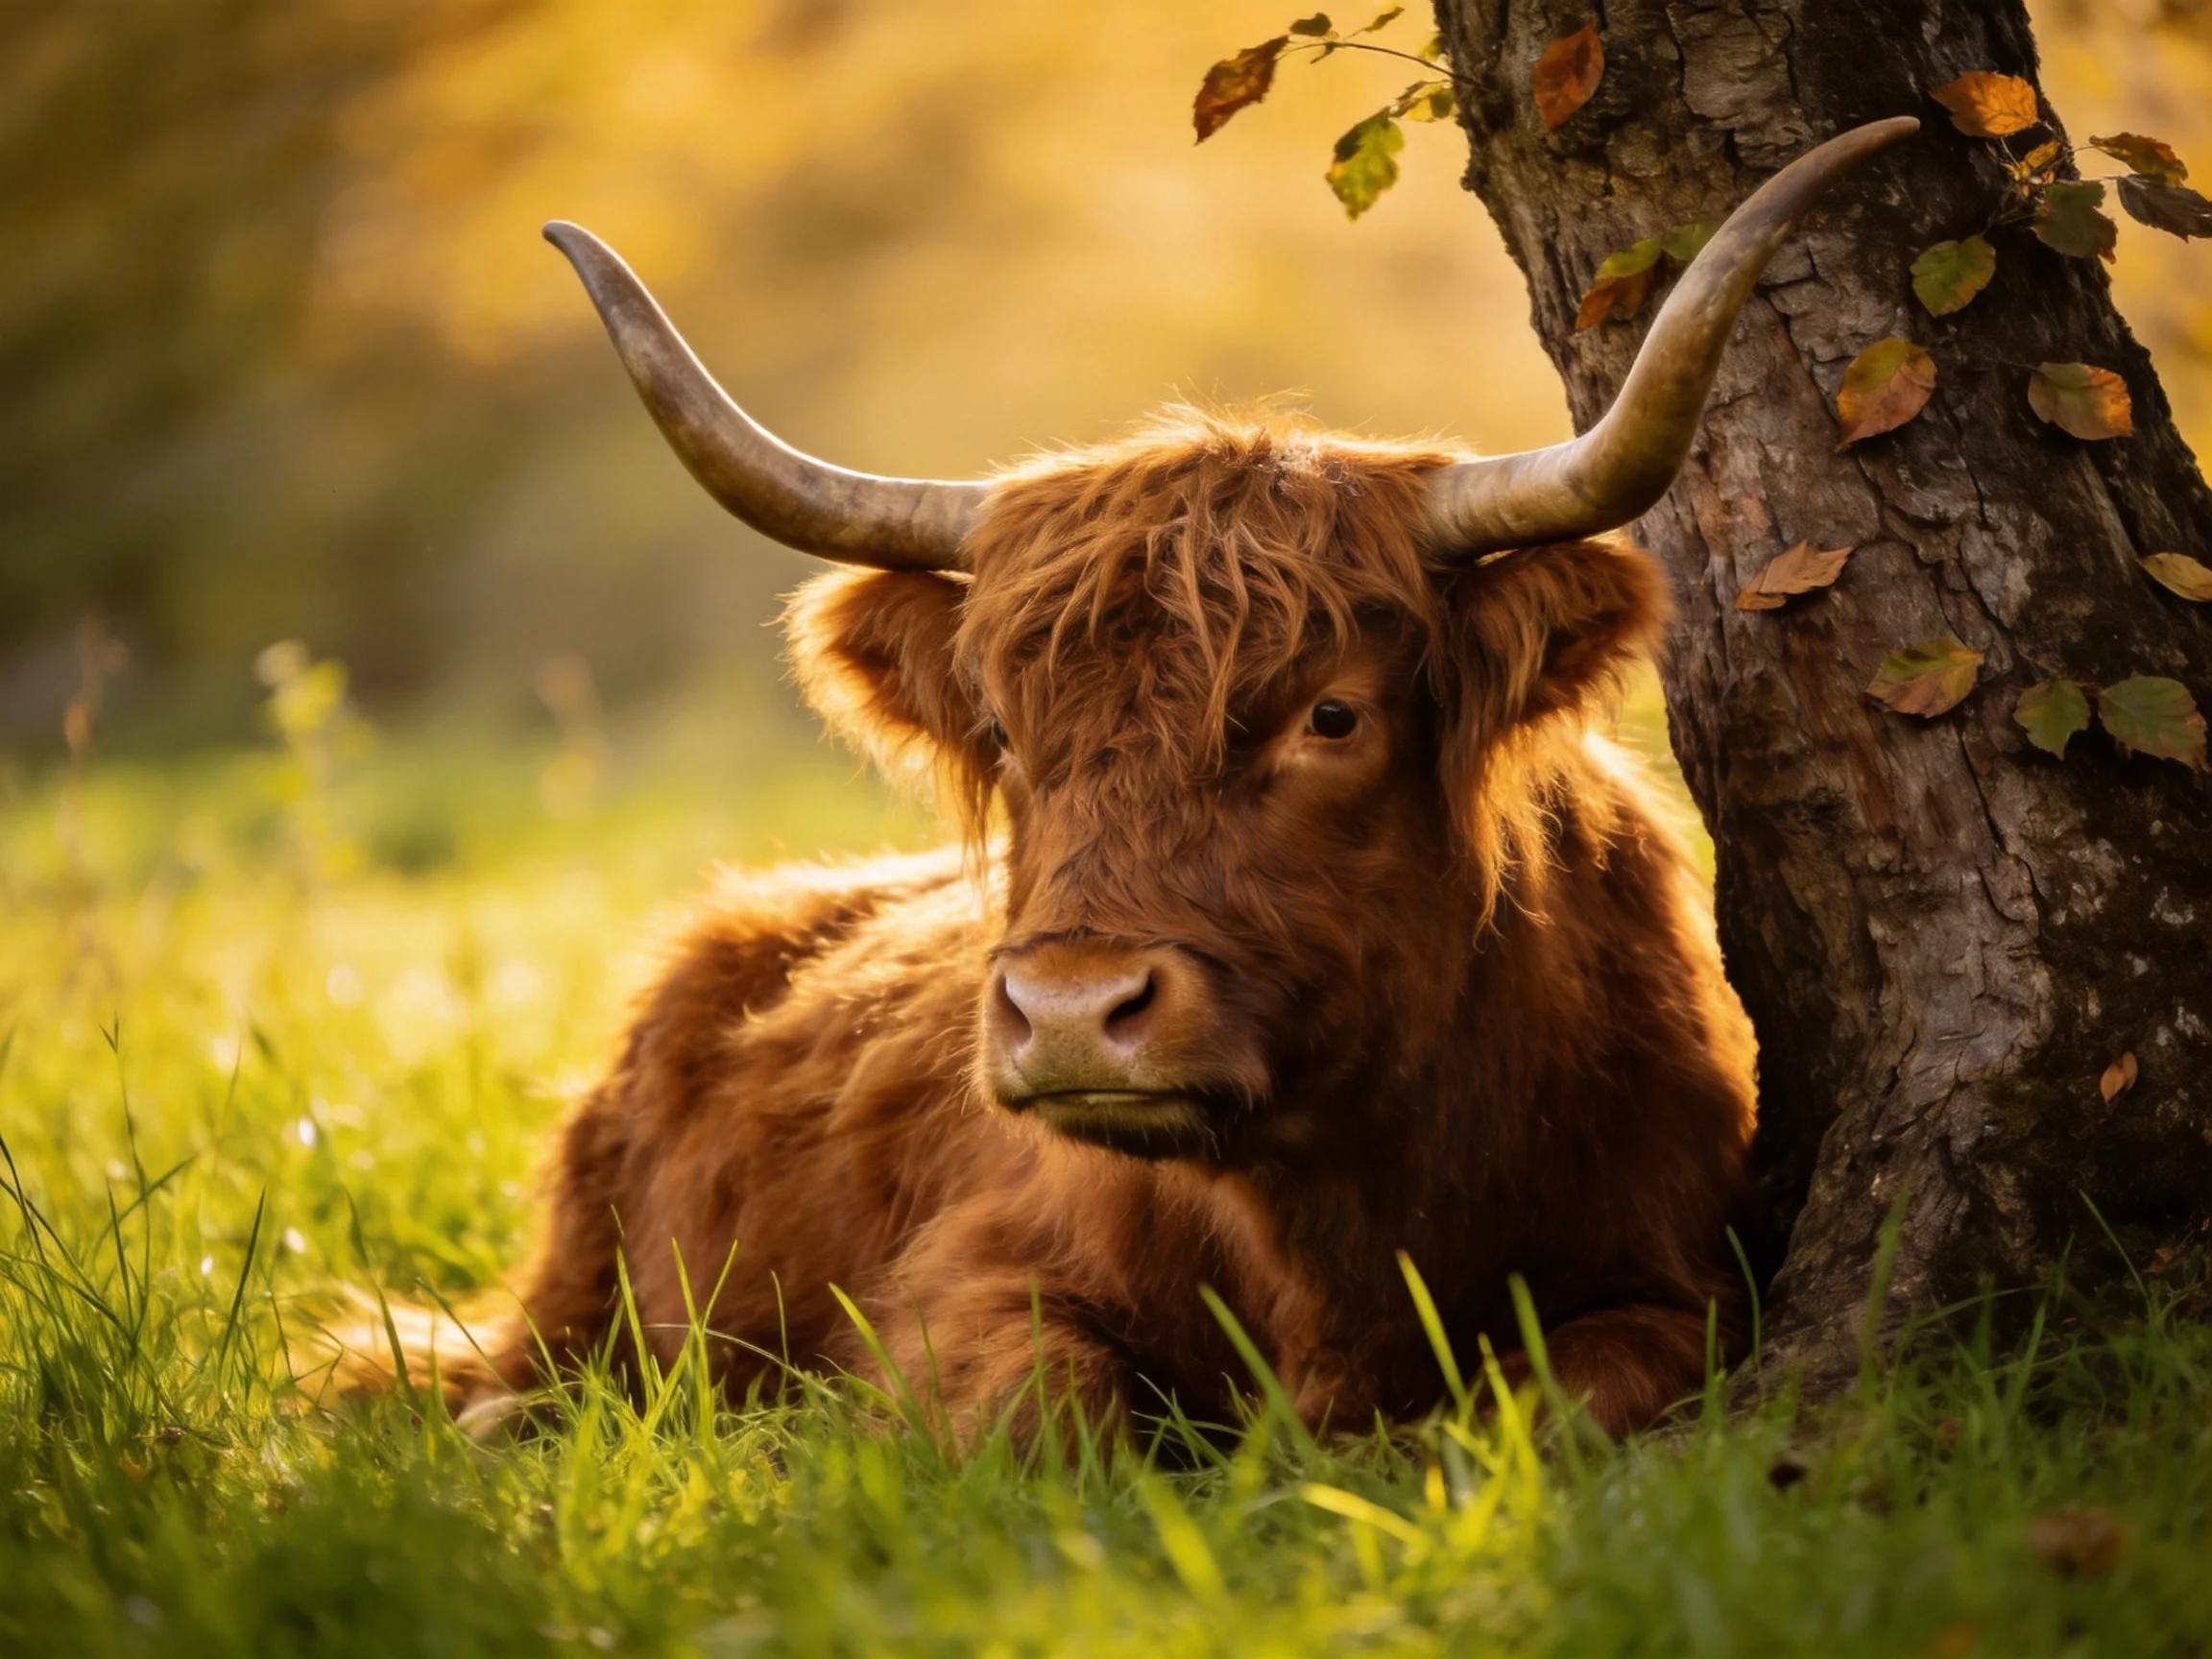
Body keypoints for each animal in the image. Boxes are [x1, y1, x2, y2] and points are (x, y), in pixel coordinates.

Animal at [342, 119, 1916, 1441]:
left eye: (1332, 713)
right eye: (1005, 729)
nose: (1071, 1013)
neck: (1333, 1221)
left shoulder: (1671, 1282)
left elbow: (1543, 1406)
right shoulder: (964, 1287)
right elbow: (1053, 1417)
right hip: (577, 1289)